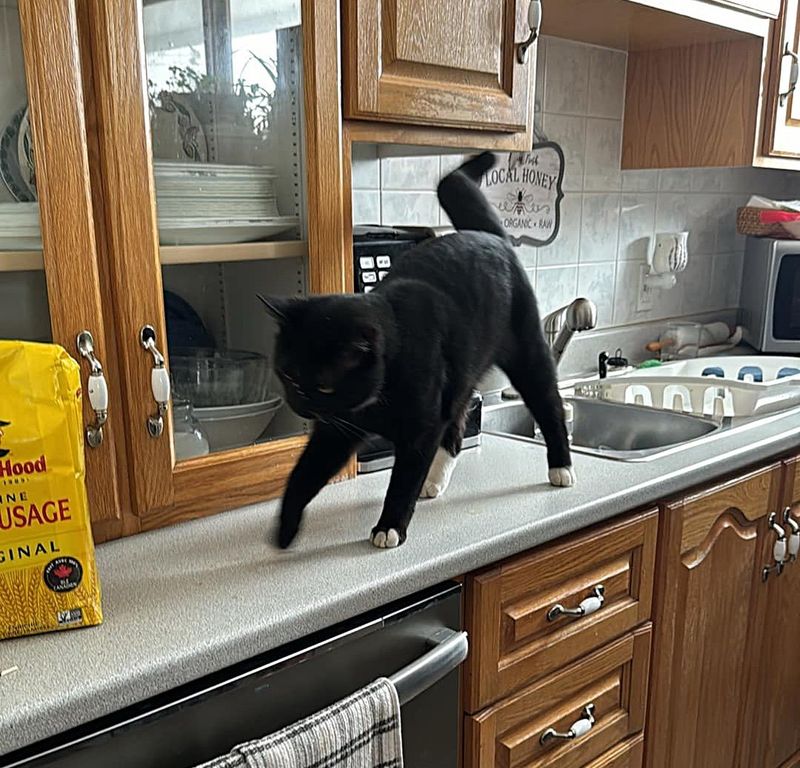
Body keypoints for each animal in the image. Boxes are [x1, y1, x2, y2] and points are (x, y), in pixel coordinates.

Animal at [262, 153, 576, 548]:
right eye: (287, 374)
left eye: (323, 385)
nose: (299, 404)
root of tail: (493, 237)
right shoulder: (337, 429)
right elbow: (304, 472)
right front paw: (285, 529)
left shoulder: (420, 427)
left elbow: (404, 477)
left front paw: (389, 527)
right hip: (461, 376)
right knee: (456, 425)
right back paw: (435, 481)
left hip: (527, 352)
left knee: (547, 404)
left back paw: (561, 467)